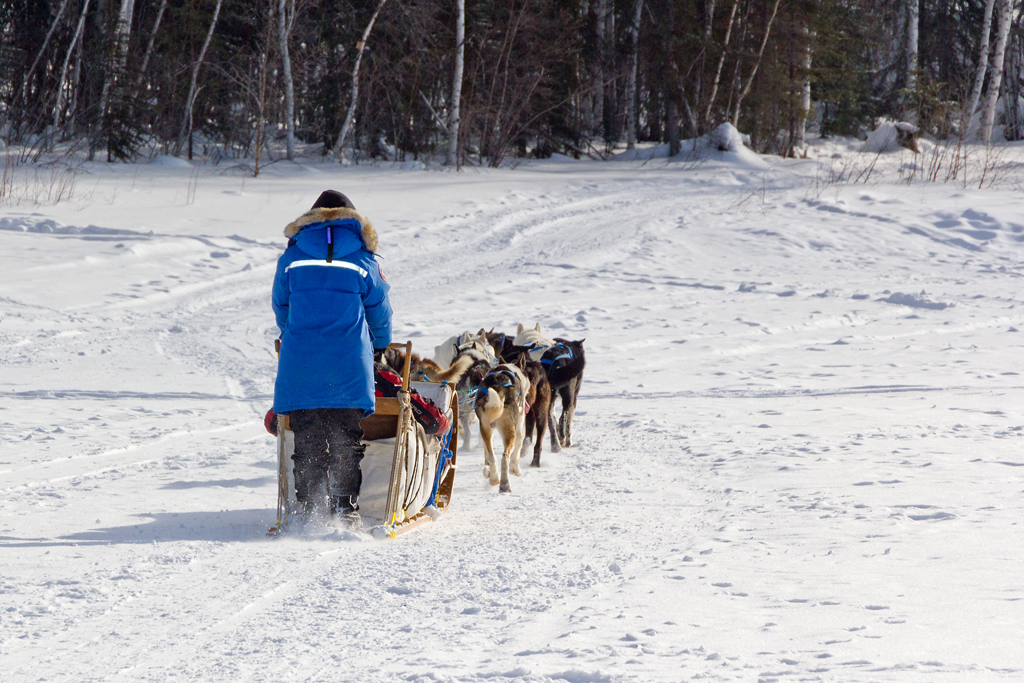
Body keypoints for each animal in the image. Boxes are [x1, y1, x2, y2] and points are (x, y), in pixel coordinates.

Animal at [475, 362, 532, 491]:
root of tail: (498, 387)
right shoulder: (519, 429)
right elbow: (517, 451)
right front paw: (515, 469)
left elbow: (486, 455)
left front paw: (487, 470)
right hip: (509, 431)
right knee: (505, 457)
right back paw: (504, 484)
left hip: (485, 429)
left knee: (492, 457)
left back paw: (494, 479)